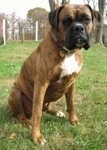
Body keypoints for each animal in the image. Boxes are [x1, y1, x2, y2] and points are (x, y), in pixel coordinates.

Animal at [7, 3, 100, 144]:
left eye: (86, 19)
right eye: (66, 20)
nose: (78, 28)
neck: (67, 51)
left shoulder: (72, 82)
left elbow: (71, 104)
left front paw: (73, 120)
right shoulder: (41, 83)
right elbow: (37, 112)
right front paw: (36, 136)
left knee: (45, 108)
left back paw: (56, 112)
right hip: (15, 93)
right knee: (22, 115)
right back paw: (28, 122)